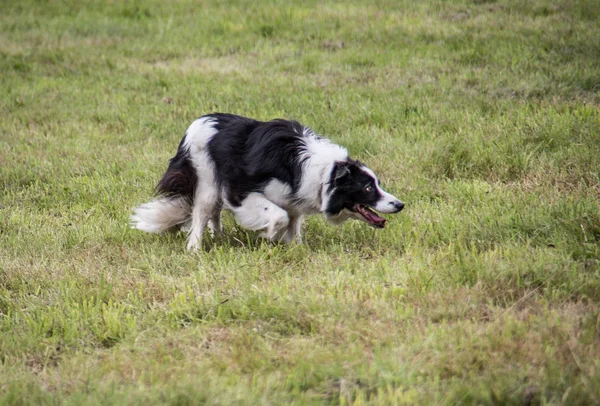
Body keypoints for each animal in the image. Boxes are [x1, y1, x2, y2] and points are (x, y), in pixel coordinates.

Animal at [131, 112, 404, 251]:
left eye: (378, 184)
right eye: (367, 188)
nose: (400, 204)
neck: (325, 173)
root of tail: (198, 121)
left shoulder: (294, 201)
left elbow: (294, 224)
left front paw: (295, 248)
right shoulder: (242, 190)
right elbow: (278, 216)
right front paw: (269, 235)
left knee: (213, 213)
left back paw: (217, 236)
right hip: (207, 177)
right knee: (202, 212)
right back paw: (195, 249)